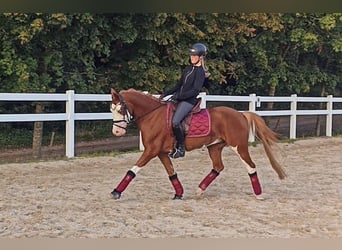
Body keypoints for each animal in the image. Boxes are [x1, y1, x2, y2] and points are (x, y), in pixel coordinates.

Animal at [109, 88, 286, 199]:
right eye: (111, 109)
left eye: (120, 109)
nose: (117, 132)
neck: (152, 115)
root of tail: (241, 114)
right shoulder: (160, 153)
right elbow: (171, 173)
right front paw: (179, 193)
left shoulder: (151, 151)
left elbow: (132, 170)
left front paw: (116, 192)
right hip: (214, 147)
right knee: (218, 167)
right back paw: (200, 190)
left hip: (239, 146)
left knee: (251, 166)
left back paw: (259, 194)